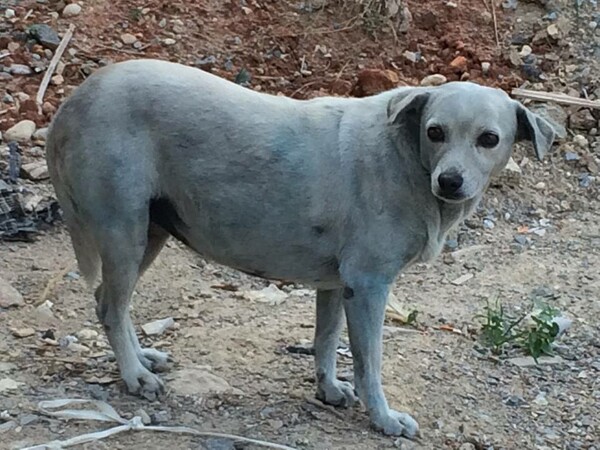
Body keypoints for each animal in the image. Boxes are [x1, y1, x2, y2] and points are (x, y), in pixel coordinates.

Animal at [44, 58, 556, 438]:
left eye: (488, 139)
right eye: (435, 132)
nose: (449, 181)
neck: (405, 156)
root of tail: (76, 98)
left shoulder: (335, 285)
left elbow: (326, 342)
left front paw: (328, 389)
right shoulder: (369, 287)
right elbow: (370, 365)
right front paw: (384, 419)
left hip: (151, 233)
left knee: (111, 303)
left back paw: (142, 357)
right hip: (123, 232)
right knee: (110, 307)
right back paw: (135, 376)